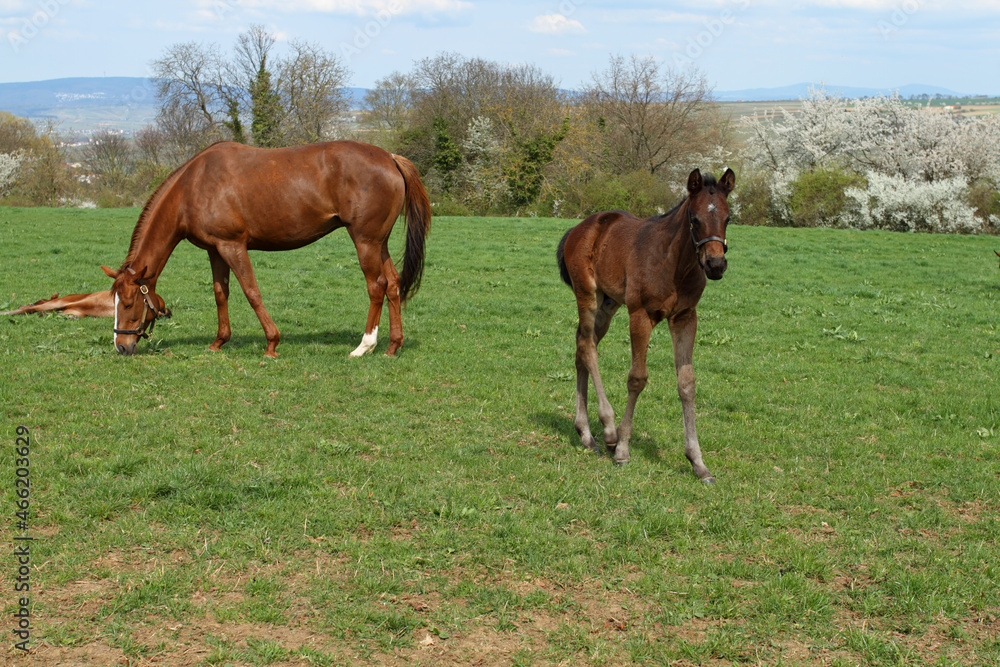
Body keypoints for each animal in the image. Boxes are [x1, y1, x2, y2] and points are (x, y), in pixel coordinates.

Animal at [107, 141, 432, 358]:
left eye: (129, 304)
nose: (121, 346)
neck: (194, 185)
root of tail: (390, 157)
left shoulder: (233, 246)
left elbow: (252, 292)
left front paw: (272, 343)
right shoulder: (215, 250)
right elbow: (220, 293)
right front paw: (219, 341)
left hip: (365, 242)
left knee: (376, 286)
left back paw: (364, 346)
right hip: (380, 243)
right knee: (393, 284)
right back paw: (392, 346)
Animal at [556, 167, 736, 480]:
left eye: (727, 218)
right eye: (694, 218)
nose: (716, 265)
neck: (674, 262)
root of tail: (580, 227)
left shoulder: (685, 317)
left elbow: (687, 383)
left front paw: (697, 462)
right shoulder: (640, 315)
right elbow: (637, 378)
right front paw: (623, 450)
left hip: (609, 303)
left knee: (581, 346)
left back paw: (586, 434)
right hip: (588, 295)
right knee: (588, 347)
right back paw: (607, 430)